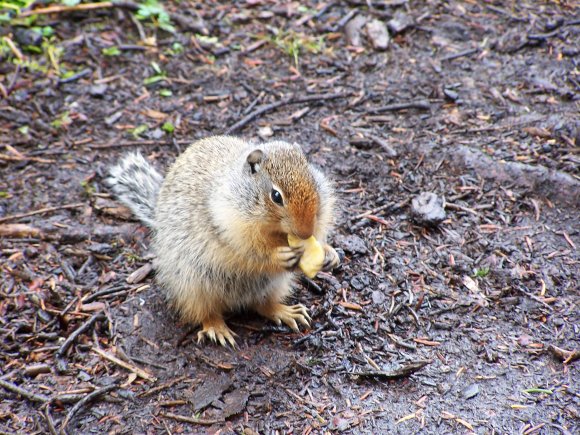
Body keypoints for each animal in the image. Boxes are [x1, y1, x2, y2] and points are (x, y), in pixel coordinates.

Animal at [107, 136, 340, 348]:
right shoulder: (232, 226)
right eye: (276, 196)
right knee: (205, 312)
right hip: (193, 285)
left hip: (272, 286)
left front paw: (329, 253)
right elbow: (251, 252)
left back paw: (286, 312)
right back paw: (217, 328)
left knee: (263, 305)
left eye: (313, 182)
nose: (305, 232)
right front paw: (278, 255)